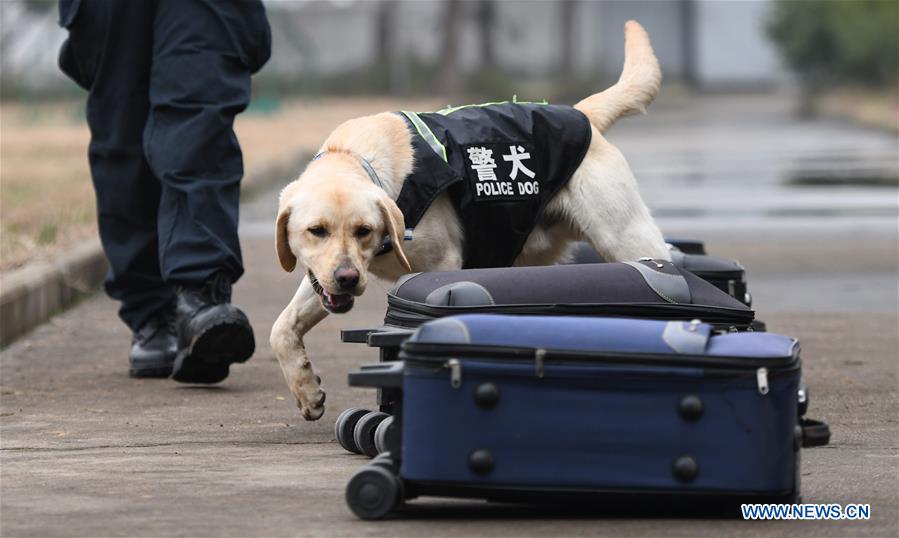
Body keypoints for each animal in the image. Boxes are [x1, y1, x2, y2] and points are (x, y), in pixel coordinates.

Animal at [270, 21, 672, 416]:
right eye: (316, 231)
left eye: (363, 231)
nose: (348, 279)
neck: (354, 157)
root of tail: (581, 112)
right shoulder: (321, 276)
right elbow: (281, 328)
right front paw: (306, 390)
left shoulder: (441, 264)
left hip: (626, 237)